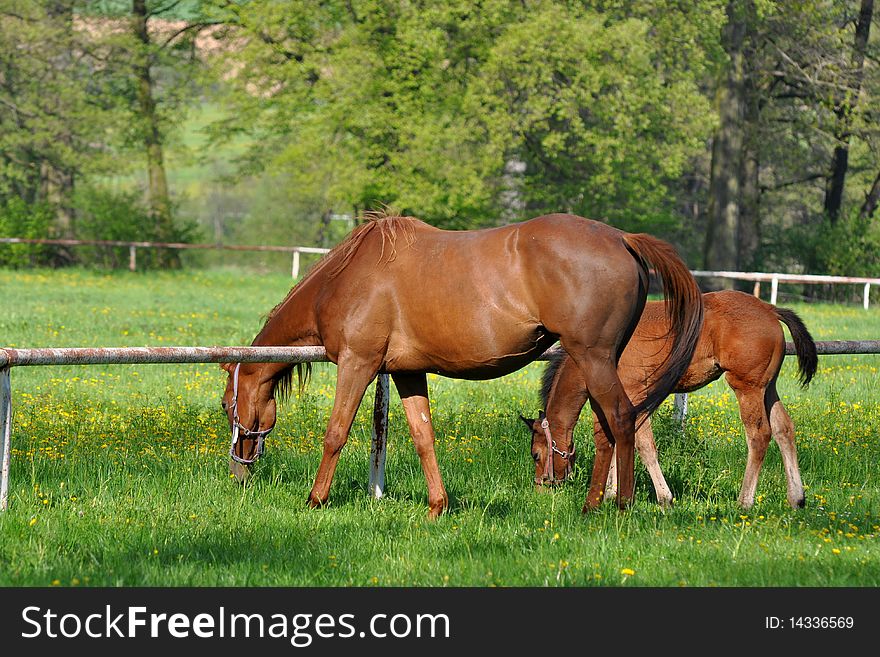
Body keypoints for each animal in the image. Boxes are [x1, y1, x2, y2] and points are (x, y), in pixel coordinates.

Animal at [220, 213, 700, 516]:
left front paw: (315, 499)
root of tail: (623, 238)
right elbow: (423, 438)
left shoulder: (358, 364)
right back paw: (593, 504)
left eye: (227, 407)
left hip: (593, 357)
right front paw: (438, 506)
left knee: (620, 420)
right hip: (599, 362)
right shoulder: (406, 373)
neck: (347, 277)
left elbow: (335, 433)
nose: (237, 473)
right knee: (607, 429)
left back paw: (619, 506)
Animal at [524, 290, 820, 510]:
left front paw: (663, 498)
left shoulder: (635, 395)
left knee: (759, 436)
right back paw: (796, 498)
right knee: (784, 429)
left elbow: (644, 446)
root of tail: (769, 309)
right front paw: (610, 493)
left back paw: (744, 501)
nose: (541, 489)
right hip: (768, 388)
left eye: (536, 454)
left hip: (747, 387)